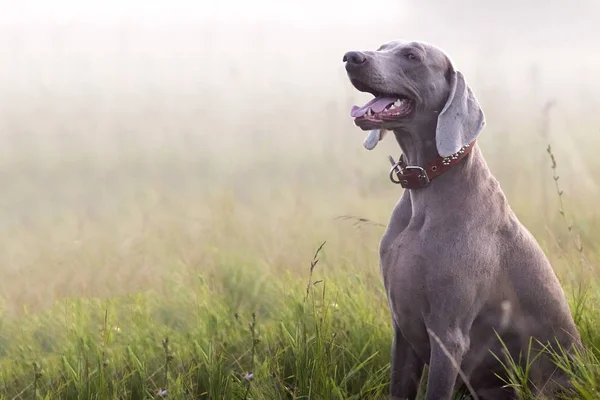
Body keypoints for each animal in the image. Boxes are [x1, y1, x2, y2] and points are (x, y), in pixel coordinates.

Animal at [342, 41, 580, 400]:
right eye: (383, 47)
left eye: (411, 55)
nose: (351, 57)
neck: (424, 186)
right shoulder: (401, 328)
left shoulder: (448, 334)